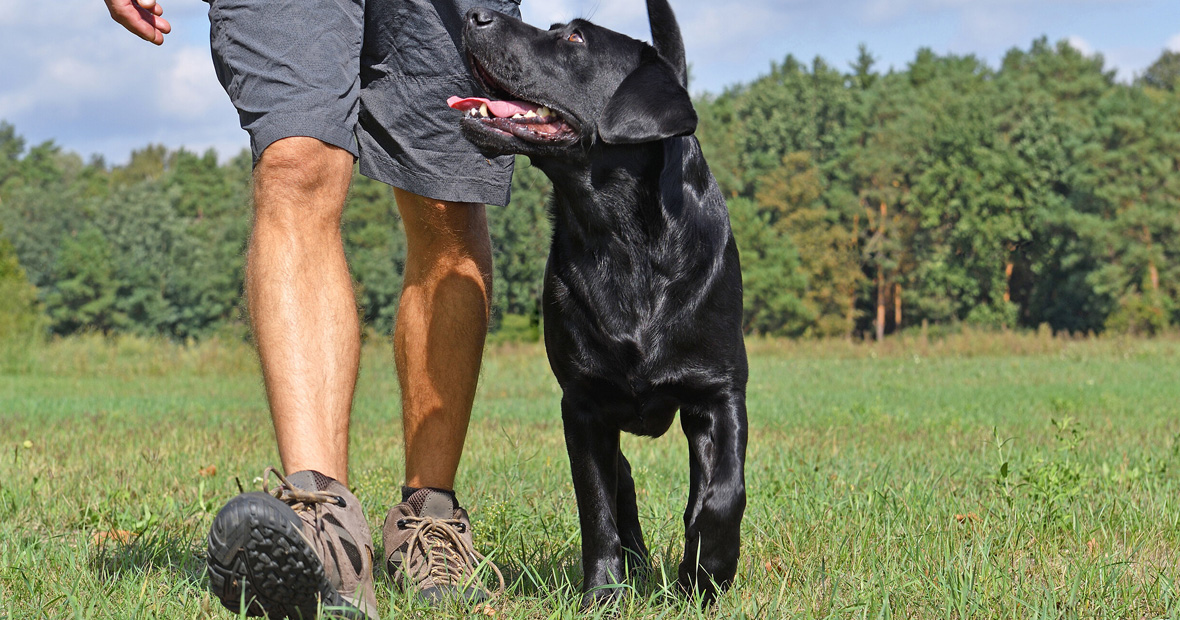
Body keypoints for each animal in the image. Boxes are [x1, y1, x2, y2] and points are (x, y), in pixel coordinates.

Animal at [450, 0, 745, 602]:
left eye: (575, 38)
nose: (473, 14)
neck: (621, 239)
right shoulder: (582, 404)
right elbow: (597, 505)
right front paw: (605, 592)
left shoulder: (720, 389)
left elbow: (722, 493)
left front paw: (708, 568)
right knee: (621, 481)